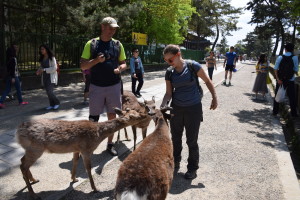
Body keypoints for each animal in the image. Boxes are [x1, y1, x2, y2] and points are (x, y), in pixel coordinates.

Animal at [17, 108, 147, 200]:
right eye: (135, 116)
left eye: (136, 111)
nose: (145, 114)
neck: (98, 134)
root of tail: (18, 132)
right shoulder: (86, 149)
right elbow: (88, 168)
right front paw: (95, 189)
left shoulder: (76, 149)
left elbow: (75, 162)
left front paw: (74, 179)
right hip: (36, 148)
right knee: (23, 165)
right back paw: (33, 194)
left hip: (31, 149)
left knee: (22, 161)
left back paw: (34, 180)